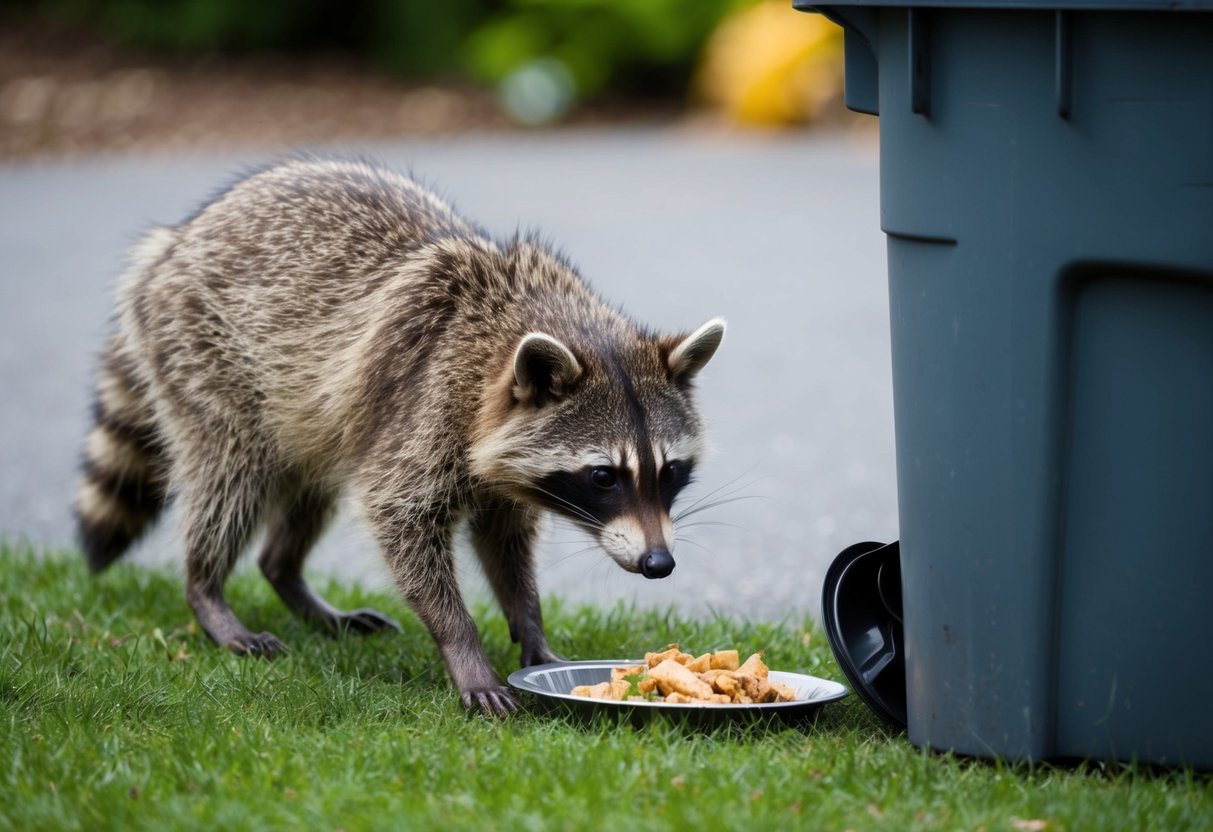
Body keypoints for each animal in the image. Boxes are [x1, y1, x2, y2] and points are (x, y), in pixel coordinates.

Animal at [75, 157, 725, 715]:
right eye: (603, 476)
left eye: (670, 471)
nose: (658, 563)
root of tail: (171, 245)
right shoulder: (423, 408)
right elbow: (400, 518)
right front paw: (464, 648)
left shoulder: (500, 468)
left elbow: (504, 539)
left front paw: (530, 625)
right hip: (206, 356)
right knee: (230, 475)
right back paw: (206, 588)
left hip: (315, 421)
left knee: (309, 489)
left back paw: (285, 572)